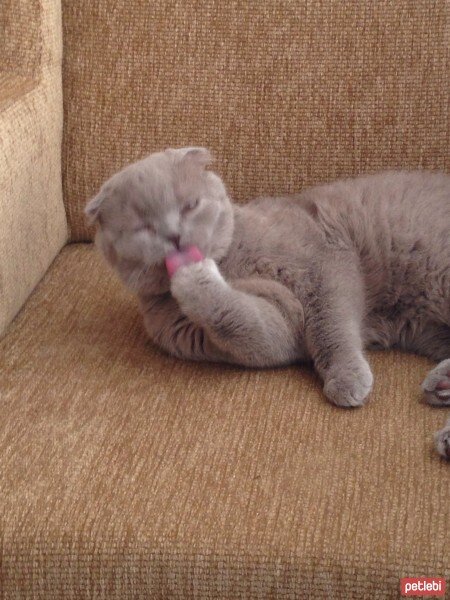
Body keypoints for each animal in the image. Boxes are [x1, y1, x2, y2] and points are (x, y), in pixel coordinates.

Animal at [85, 149, 450, 460]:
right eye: (143, 227)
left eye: (190, 205)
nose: (175, 237)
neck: (232, 264)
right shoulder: (268, 323)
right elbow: (250, 326)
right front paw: (193, 279)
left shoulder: (326, 263)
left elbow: (331, 325)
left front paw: (346, 379)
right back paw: (443, 395)